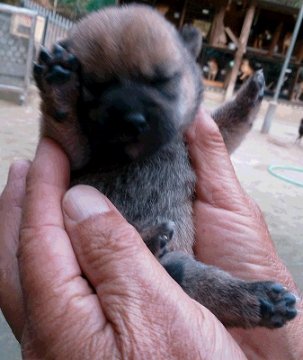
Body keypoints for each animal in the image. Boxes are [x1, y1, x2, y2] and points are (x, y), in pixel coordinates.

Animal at [33, 4, 296, 328]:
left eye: (162, 80)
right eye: (95, 87)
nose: (131, 120)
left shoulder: (200, 136)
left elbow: (229, 125)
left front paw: (249, 96)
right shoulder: (78, 155)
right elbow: (65, 125)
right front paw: (58, 88)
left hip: (189, 271)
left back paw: (261, 300)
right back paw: (149, 238)